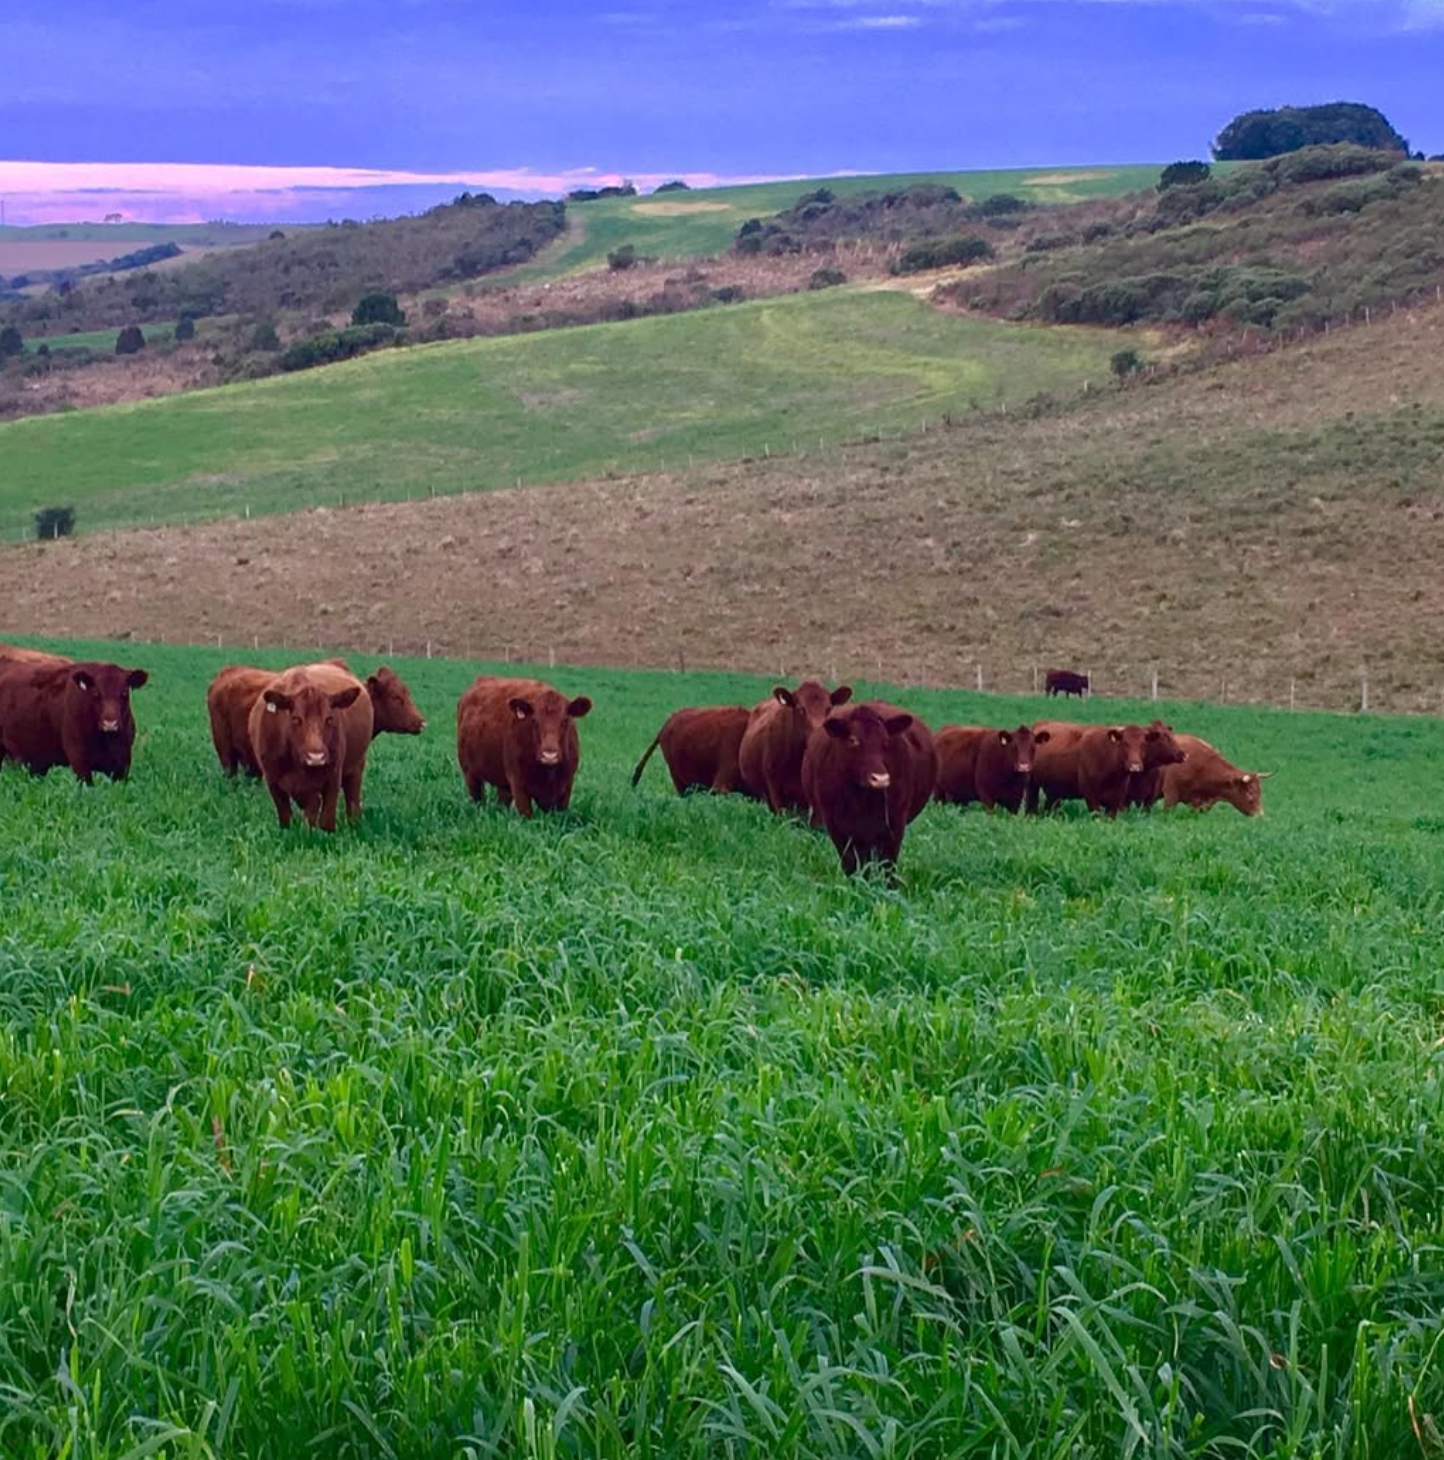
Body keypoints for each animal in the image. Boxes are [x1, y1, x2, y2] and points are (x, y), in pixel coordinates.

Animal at [0, 654, 149, 783]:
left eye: (124, 693)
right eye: (96, 694)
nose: (110, 724)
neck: (105, 740)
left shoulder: (122, 763)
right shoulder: (79, 760)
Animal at [247, 663, 370, 831]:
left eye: (329, 719)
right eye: (296, 719)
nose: (316, 757)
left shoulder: (333, 777)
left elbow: (326, 821)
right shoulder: (272, 780)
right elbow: (286, 817)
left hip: (356, 767)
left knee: (352, 799)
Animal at [457, 675, 591, 817]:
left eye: (565, 721)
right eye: (534, 721)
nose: (549, 755)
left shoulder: (566, 787)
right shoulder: (518, 786)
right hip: (470, 773)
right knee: (478, 800)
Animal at [802, 700, 937, 875]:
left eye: (886, 741)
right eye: (853, 740)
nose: (880, 779)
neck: (860, 799)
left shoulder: (894, 827)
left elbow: (887, 866)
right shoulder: (836, 827)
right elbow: (851, 864)